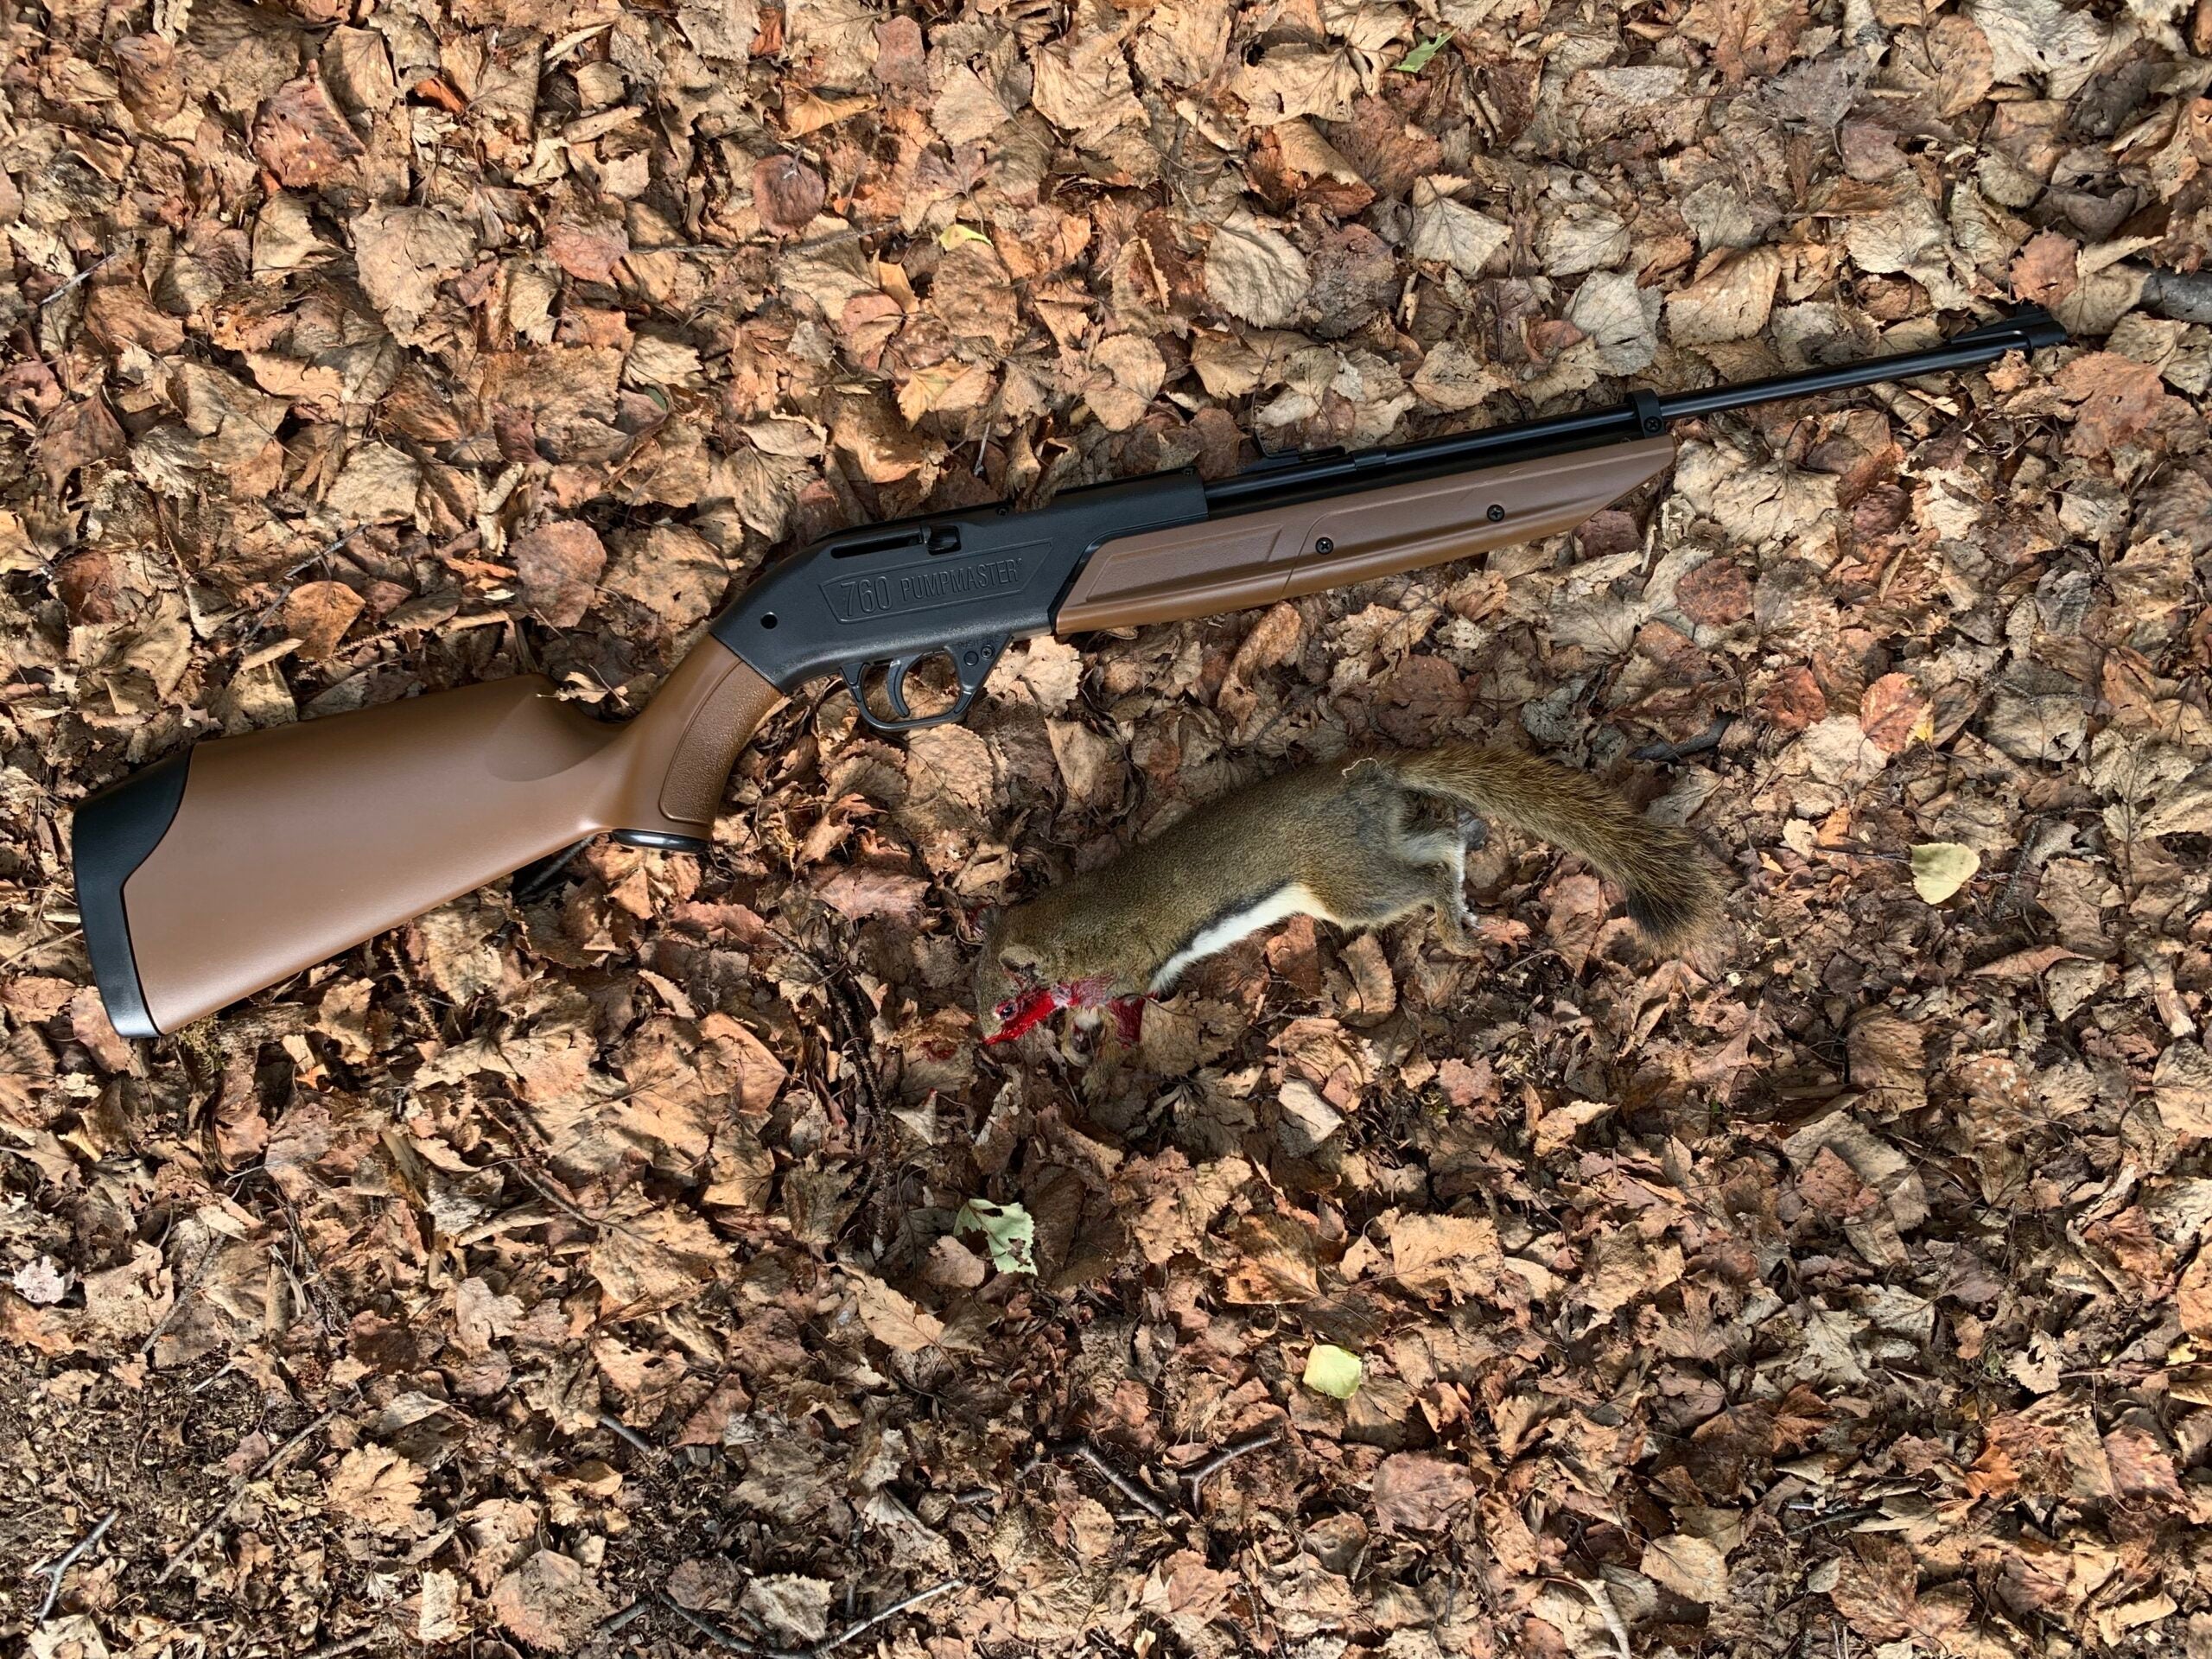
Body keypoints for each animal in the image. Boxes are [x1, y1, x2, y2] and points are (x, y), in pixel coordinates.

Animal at [976, 744, 1719, 1045]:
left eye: (1005, 1001)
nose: (988, 1034)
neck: (1060, 923)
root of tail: (1368, 780)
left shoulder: (1124, 954)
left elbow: (1125, 988)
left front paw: (1085, 1019)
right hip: (1370, 850)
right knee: (1439, 841)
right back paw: (1461, 869)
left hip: (1345, 886)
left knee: (1421, 877)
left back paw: (1451, 923)